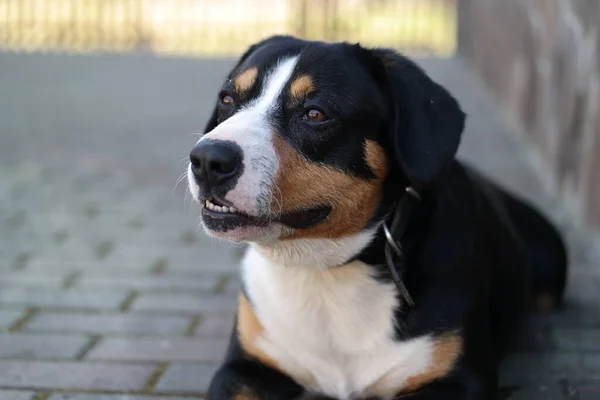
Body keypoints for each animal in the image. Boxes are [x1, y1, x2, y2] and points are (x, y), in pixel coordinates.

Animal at [186, 36, 568, 398]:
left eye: (315, 113)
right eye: (228, 99)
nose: (208, 160)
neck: (324, 274)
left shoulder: (462, 381)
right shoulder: (245, 368)